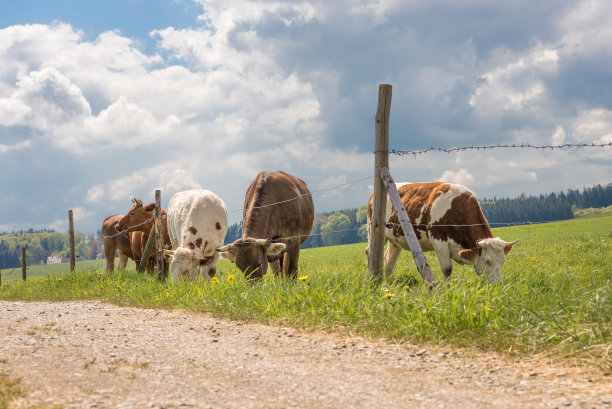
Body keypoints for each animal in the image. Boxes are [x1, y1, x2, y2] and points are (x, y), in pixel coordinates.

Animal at [366, 182, 520, 284]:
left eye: (503, 261)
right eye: (487, 261)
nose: (498, 285)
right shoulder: (439, 241)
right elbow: (447, 269)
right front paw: (447, 291)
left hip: (395, 240)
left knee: (389, 260)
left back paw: (389, 283)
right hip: (373, 231)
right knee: (370, 252)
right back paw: (372, 278)